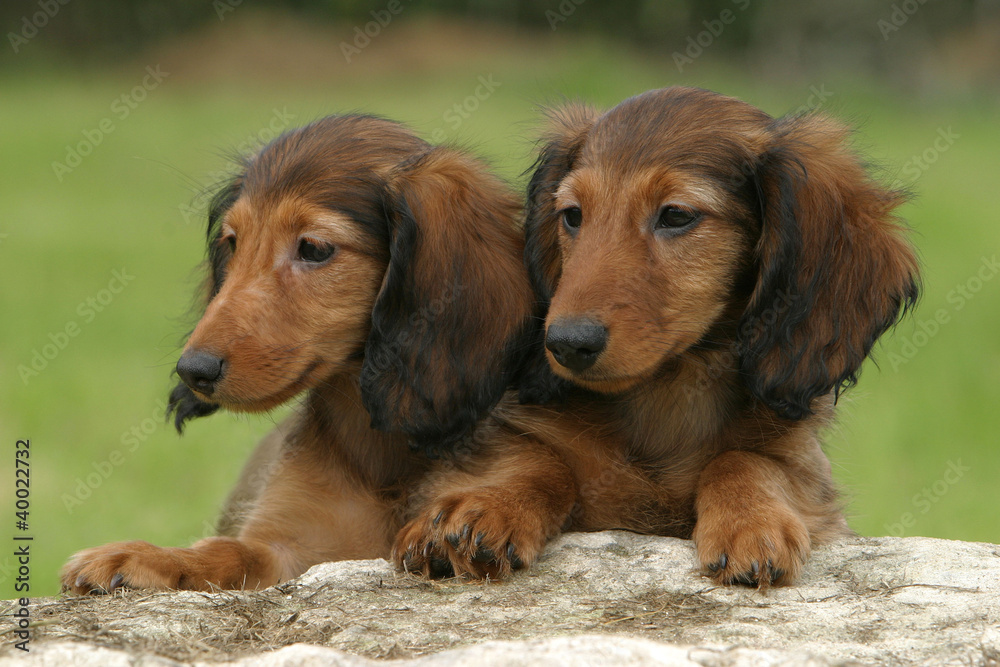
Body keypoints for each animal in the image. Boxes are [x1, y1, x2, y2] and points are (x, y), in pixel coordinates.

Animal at [61, 115, 536, 596]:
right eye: (233, 242)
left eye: (314, 249)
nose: (192, 371)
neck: (379, 448)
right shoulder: (289, 552)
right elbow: (225, 552)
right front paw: (144, 556)